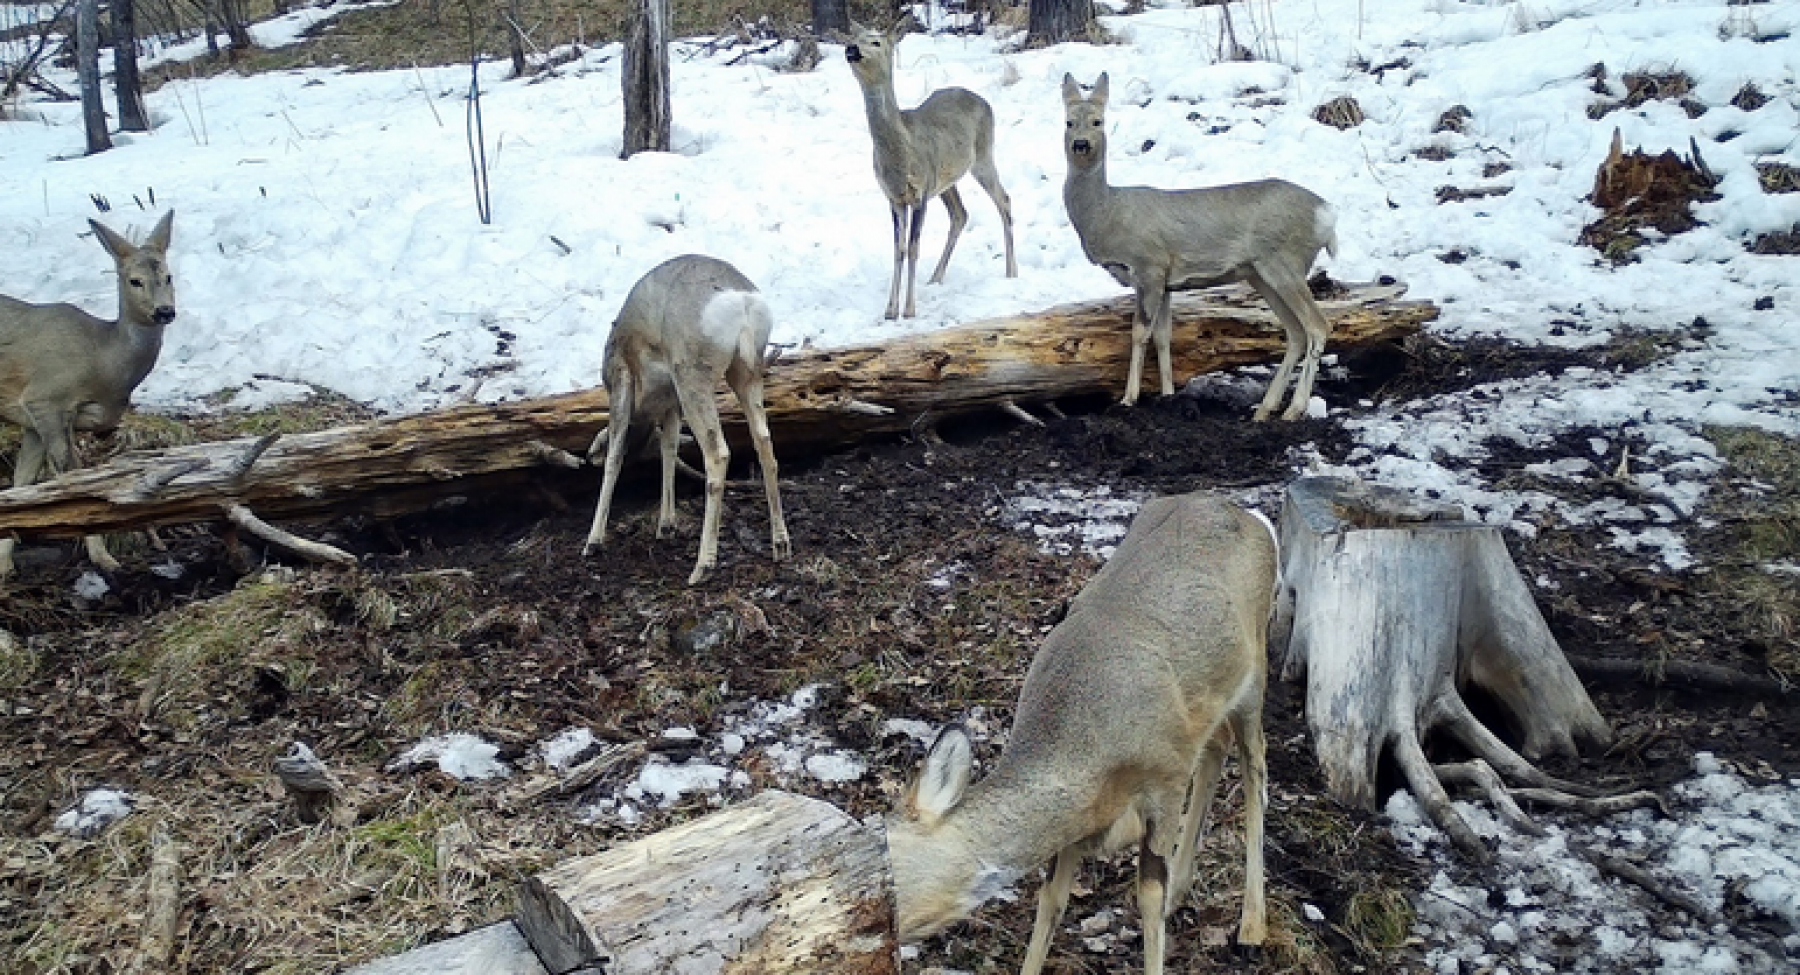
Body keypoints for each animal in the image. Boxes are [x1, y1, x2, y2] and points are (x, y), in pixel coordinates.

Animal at [0, 214, 177, 582]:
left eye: (169, 275)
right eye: (135, 280)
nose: (165, 311)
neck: (102, 361)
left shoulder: (32, 419)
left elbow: (23, 482)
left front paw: (4, 563)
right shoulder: (46, 398)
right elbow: (71, 477)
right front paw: (103, 557)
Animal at [586, 253, 792, 590]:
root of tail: (742, 302)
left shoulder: (622, 381)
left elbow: (614, 457)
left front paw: (593, 541)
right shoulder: (672, 405)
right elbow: (669, 449)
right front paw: (666, 525)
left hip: (692, 375)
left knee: (717, 453)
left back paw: (702, 566)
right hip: (746, 373)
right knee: (764, 441)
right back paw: (780, 544)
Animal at [842, 21, 1015, 320]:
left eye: (876, 42)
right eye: (855, 37)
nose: (851, 48)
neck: (899, 156)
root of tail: (985, 101)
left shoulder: (920, 192)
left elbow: (913, 247)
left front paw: (909, 309)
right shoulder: (893, 197)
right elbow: (898, 249)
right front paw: (890, 310)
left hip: (982, 155)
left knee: (1004, 200)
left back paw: (1011, 273)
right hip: (946, 180)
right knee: (960, 214)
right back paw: (935, 277)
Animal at [882, 496, 1274, 975]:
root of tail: (1248, 514)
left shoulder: (1167, 775)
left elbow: (1147, 896)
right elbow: (1051, 898)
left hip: (1256, 665)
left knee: (1255, 764)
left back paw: (1251, 929)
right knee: (1217, 748)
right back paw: (1184, 895)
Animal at [1058, 70, 1346, 419]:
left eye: (1098, 121)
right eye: (1068, 122)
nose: (1081, 144)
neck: (1107, 213)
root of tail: (1327, 214)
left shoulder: (1149, 265)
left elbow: (1139, 333)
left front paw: (1129, 399)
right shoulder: (1165, 280)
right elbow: (1163, 336)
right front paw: (1168, 395)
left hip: (1284, 261)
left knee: (1317, 326)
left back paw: (1293, 410)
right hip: (1261, 274)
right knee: (1295, 333)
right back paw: (1264, 410)